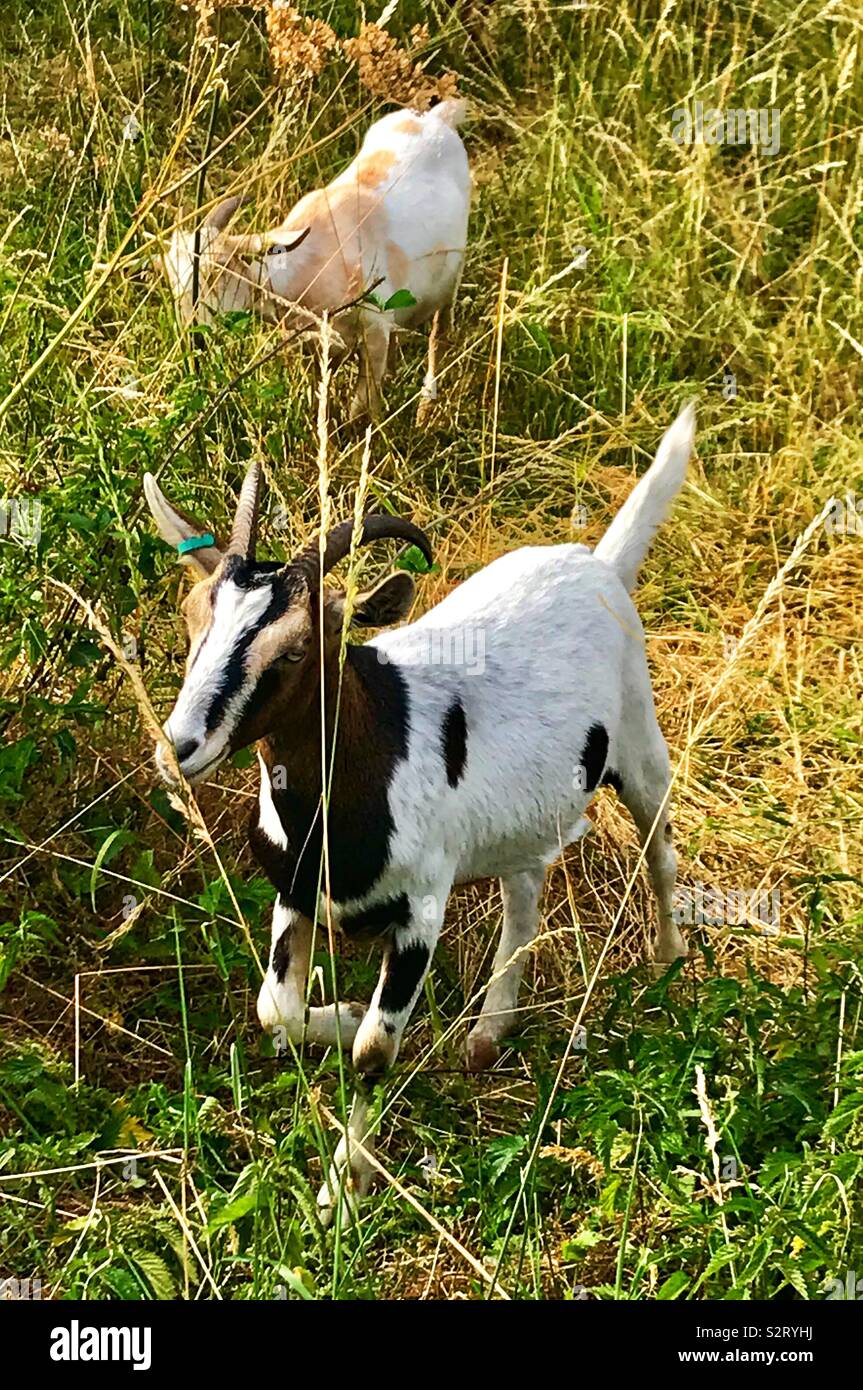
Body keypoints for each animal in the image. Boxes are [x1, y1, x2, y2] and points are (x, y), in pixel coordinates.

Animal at [143, 402, 695, 1218]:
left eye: (296, 650)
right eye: (189, 618)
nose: (177, 746)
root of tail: (597, 563)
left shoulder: (419, 915)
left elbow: (375, 1051)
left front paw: (342, 1192)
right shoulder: (295, 893)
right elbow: (276, 1011)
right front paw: (338, 1015)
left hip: (638, 739)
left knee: (659, 842)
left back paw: (667, 959)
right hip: (525, 811)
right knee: (525, 888)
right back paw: (488, 1032)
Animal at [155, 100, 471, 419]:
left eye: (219, 270)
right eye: (173, 281)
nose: (193, 334)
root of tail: (437, 116)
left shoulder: (375, 331)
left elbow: (360, 408)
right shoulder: (317, 345)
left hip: (450, 279)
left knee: (439, 336)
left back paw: (426, 405)